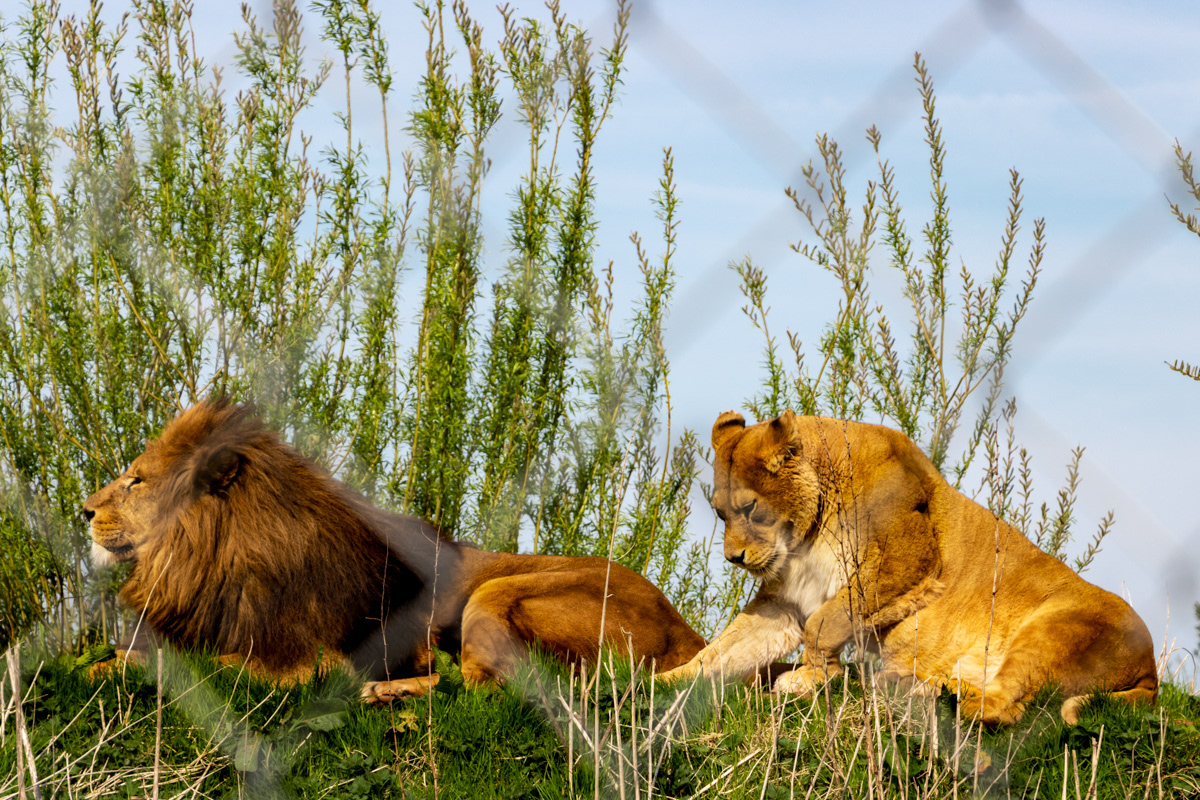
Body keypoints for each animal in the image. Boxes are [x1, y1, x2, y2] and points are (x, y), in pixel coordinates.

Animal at [84, 399, 704, 697]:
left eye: (137, 480)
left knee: (481, 689)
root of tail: (689, 636)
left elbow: (209, 666)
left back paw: (379, 692)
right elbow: (119, 657)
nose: (84, 510)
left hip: (497, 592)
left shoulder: (306, 652)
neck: (207, 565)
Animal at [659, 410, 1158, 725]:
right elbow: (720, 652)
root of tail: (1150, 667)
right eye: (721, 514)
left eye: (750, 509)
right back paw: (912, 684)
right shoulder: (783, 602)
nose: (733, 558)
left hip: (1052, 630)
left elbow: (825, 623)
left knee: (1007, 708)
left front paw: (812, 678)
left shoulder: (909, 560)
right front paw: (658, 681)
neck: (804, 537)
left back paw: (934, 691)